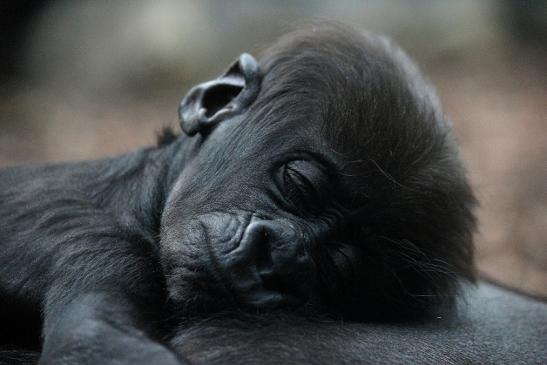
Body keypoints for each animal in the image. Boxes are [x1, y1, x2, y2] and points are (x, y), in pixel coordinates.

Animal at [0, 24, 478, 362]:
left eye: (338, 265)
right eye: (300, 183)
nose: (277, 261)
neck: (132, 194)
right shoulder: (83, 234)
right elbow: (96, 338)